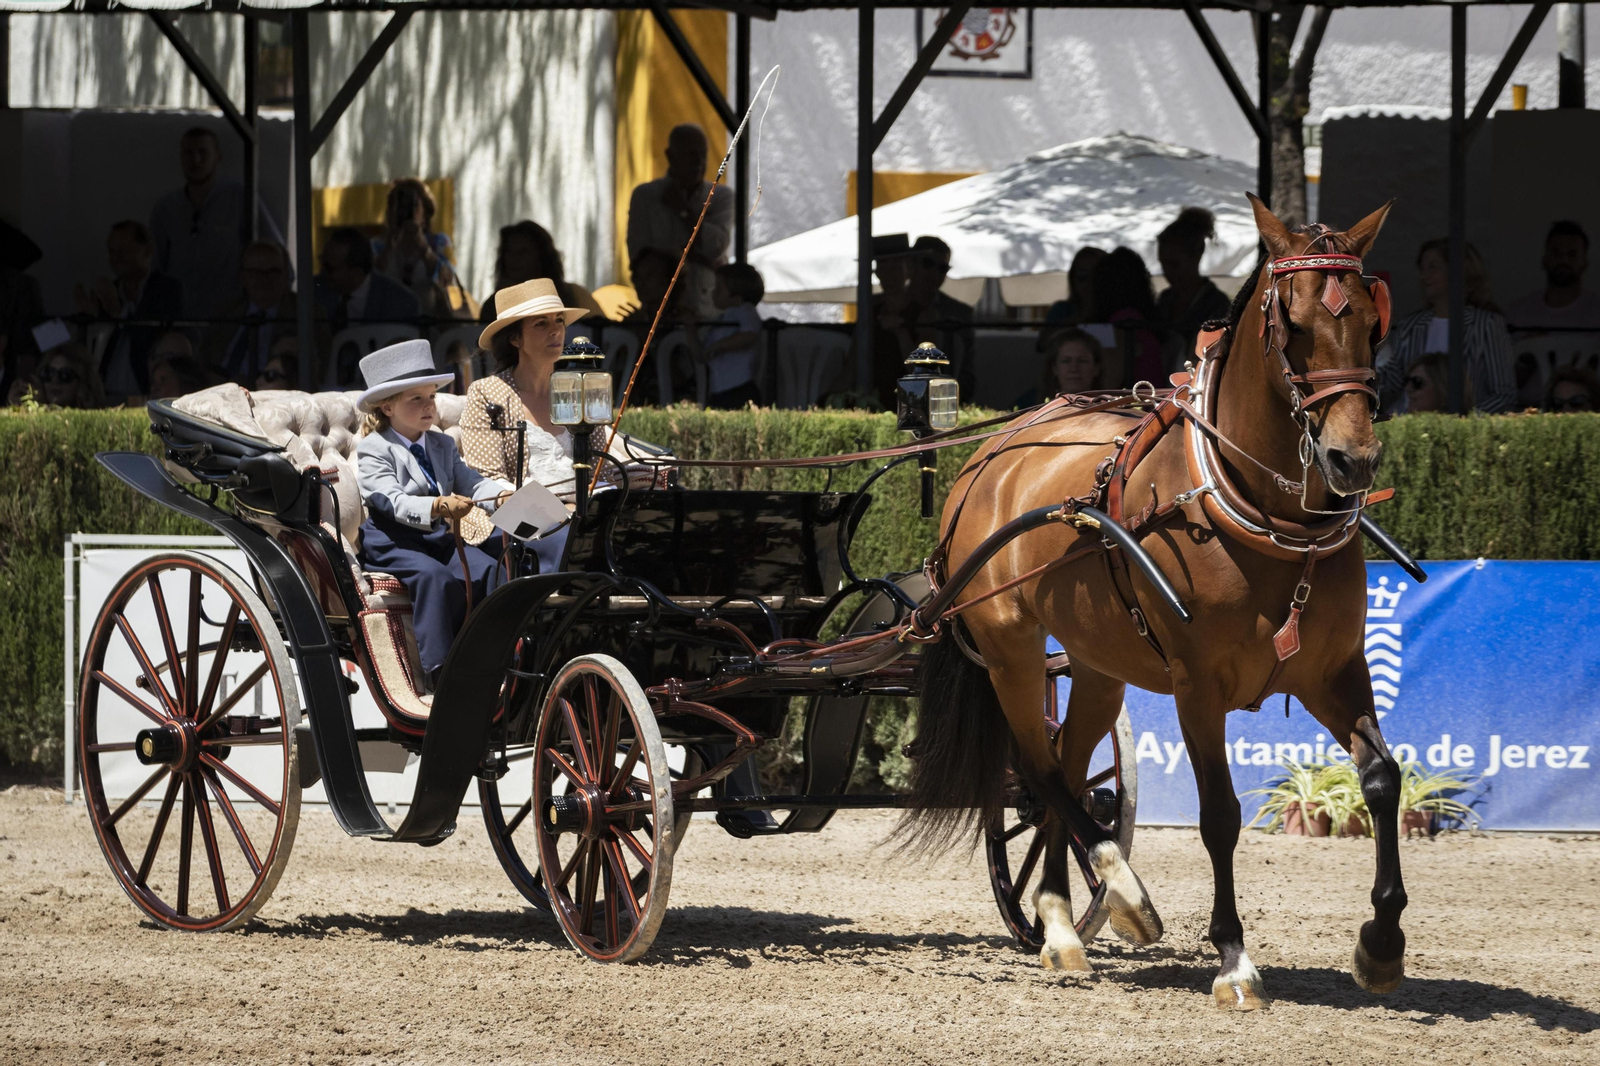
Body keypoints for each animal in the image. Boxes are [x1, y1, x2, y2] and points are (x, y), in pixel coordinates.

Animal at [906, 196, 1405, 1010]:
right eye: (1293, 323)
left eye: (1371, 319)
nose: (1351, 460)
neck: (1256, 515)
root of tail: (989, 454)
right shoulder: (1198, 687)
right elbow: (1220, 815)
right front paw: (1233, 958)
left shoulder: (1334, 673)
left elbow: (1383, 781)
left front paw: (1382, 944)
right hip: (1012, 651)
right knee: (1040, 770)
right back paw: (1123, 892)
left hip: (1095, 665)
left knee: (1066, 770)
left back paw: (1061, 921)